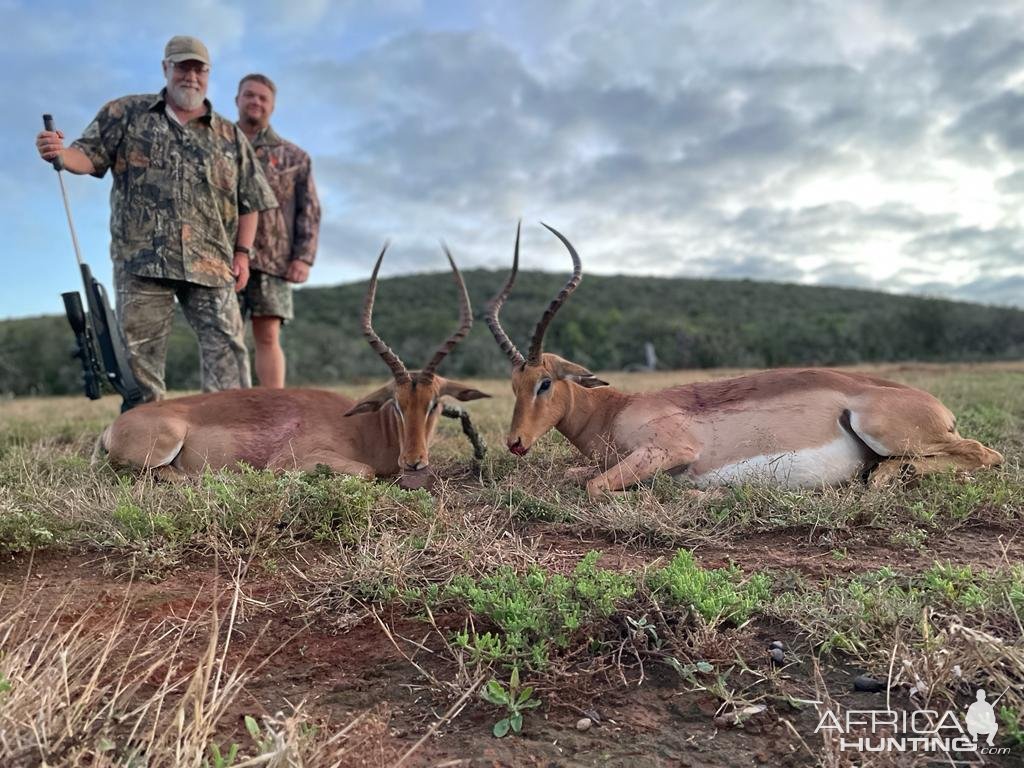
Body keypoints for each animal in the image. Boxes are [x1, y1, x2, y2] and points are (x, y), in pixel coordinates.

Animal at [98, 247, 487, 481]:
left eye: (434, 404)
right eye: (397, 403)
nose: (414, 461)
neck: (367, 428)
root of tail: (112, 428)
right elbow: (364, 472)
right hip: (165, 444)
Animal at [483, 222, 1003, 499]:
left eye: (545, 382)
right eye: (512, 385)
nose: (514, 443)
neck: (615, 411)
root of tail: (937, 406)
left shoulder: (671, 450)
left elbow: (594, 486)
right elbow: (578, 475)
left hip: (884, 430)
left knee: (985, 454)